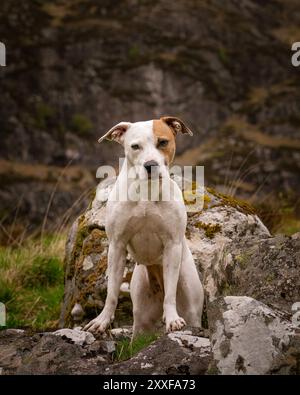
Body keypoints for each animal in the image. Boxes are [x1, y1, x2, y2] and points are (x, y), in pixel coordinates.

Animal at [85, 116, 205, 336]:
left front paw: (172, 318)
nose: (151, 165)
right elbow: (112, 292)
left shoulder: (172, 245)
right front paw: (102, 320)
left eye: (163, 142)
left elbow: (170, 294)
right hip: (141, 316)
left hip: (192, 304)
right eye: (135, 146)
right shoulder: (116, 246)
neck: (147, 192)